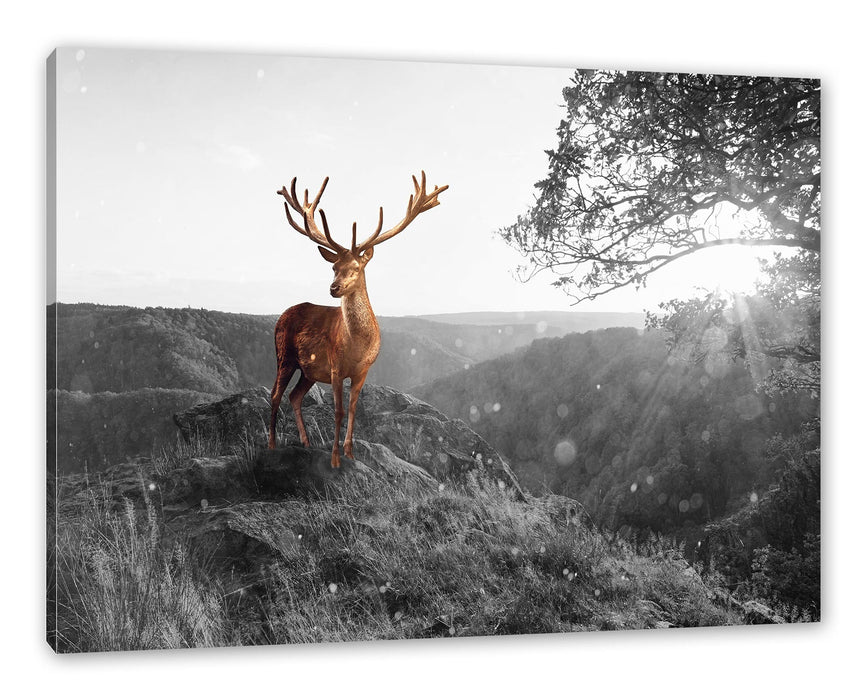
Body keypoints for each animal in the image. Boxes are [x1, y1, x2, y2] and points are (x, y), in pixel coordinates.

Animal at [268, 171, 448, 468]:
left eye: (356, 267)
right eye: (333, 266)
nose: (334, 288)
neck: (357, 346)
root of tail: (281, 316)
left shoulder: (363, 371)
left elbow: (353, 409)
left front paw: (350, 452)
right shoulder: (335, 367)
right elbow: (339, 411)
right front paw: (335, 459)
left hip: (308, 370)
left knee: (294, 396)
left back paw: (306, 443)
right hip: (284, 355)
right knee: (275, 395)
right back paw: (271, 444)